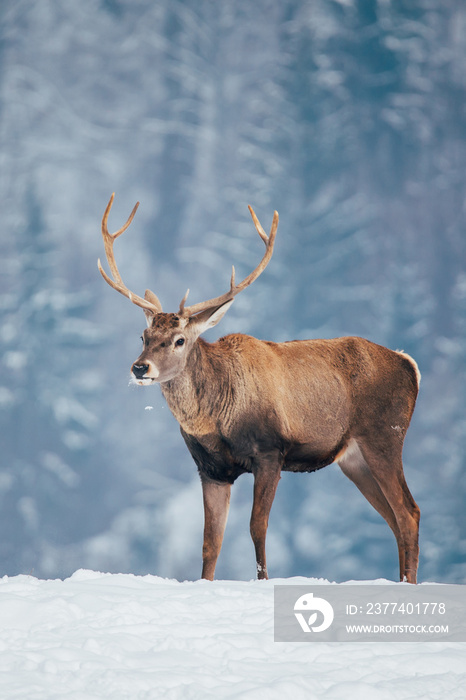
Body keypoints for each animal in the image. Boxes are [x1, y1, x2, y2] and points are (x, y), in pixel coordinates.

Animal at [96, 194, 420, 584]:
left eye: (179, 340)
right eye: (143, 336)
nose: (140, 367)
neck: (215, 420)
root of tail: (410, 366)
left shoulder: (270, 451)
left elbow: (257, 527)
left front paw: (263, 581)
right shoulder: (211, 469)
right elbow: (211, 541)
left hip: (385, 436)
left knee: (409, 513)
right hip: (354, 457)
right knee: (394, 518)